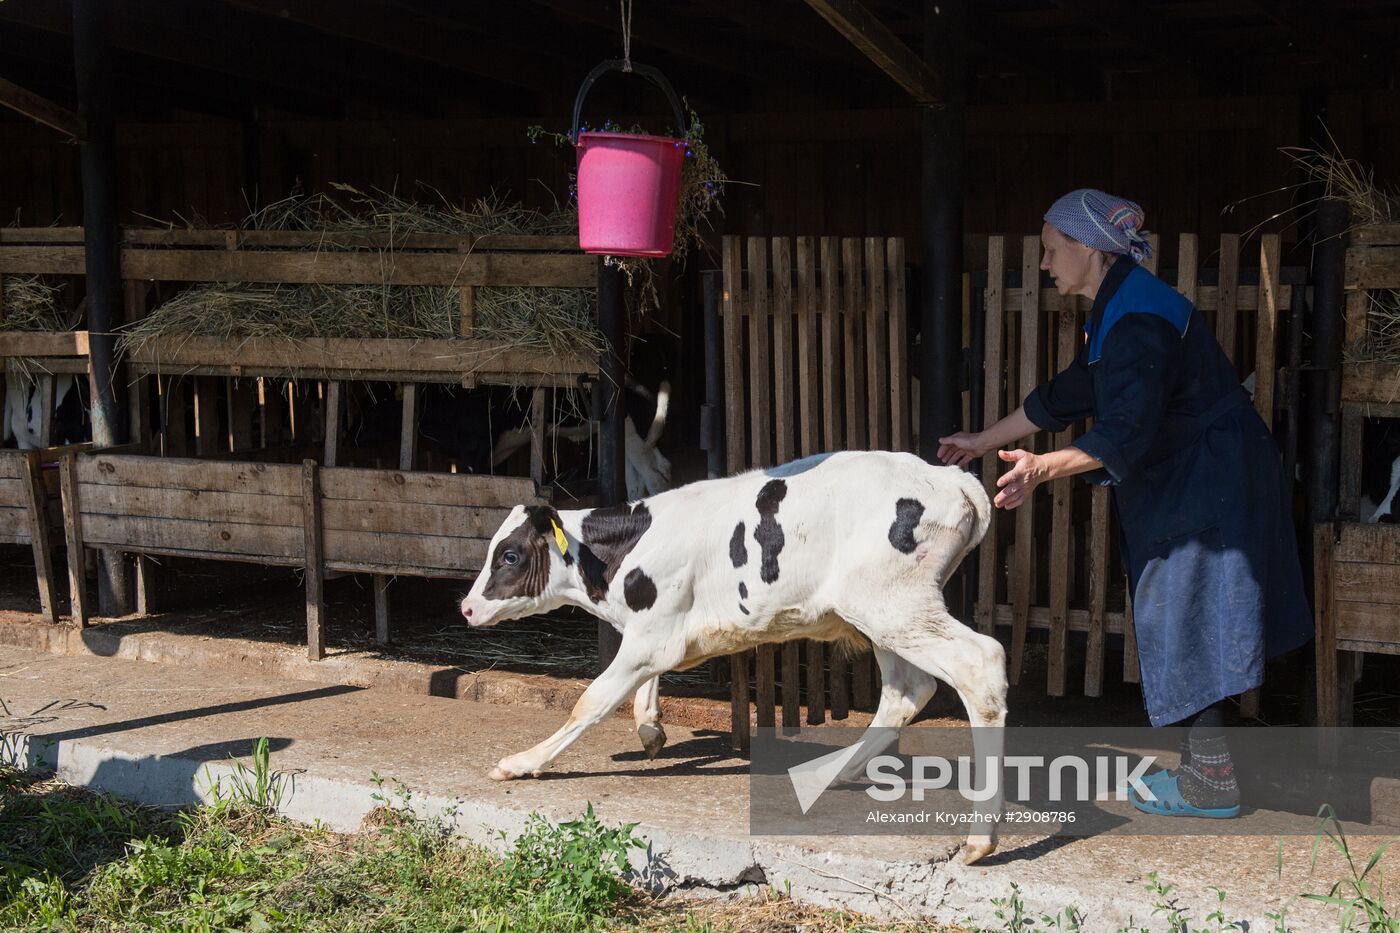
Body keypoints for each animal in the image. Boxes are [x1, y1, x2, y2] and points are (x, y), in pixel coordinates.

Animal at [459, 448, 1008, 862]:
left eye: (509, 555)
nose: (465, 606)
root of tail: (949, 477)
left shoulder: (651, 635)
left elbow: (591, 701)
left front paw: (521, 762)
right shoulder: (656, 631)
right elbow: (643, 686)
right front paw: (650, 729)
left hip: (892, 605)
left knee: (979, 664)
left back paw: (980, 840)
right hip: (883, 614)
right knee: (906, 690)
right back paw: (824, 774)